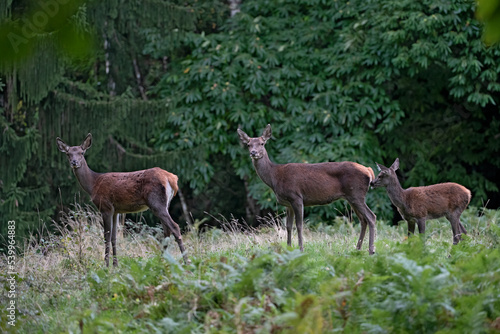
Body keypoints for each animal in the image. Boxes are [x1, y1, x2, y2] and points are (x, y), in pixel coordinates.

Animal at [56, 133, 188, 266]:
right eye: (68, 154)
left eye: (82, 153)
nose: (74, 162)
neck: (93, 184)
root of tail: (172, 178)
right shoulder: (116, 210)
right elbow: (114, 237)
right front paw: (115, 265)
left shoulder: (105, 207)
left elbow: (106, 236)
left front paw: (106, 265)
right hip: (165, 204)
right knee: (167, 231)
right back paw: (161, 261)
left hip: (156, 202)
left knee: (174, 227)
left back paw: (186, 262)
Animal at [237, 124, 376, 253]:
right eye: (248, 144)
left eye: (262, 143)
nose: (253, 153)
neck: (274, 177)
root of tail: (369, 171)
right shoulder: (287, 203)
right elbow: (288, 226)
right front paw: (288, 248)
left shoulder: (296, 197)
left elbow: (299, 225)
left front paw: (301, 249)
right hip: (351, 196)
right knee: (363, 220)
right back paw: (357, 249)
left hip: (356, 193)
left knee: (371, 217)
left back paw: (371, 250)